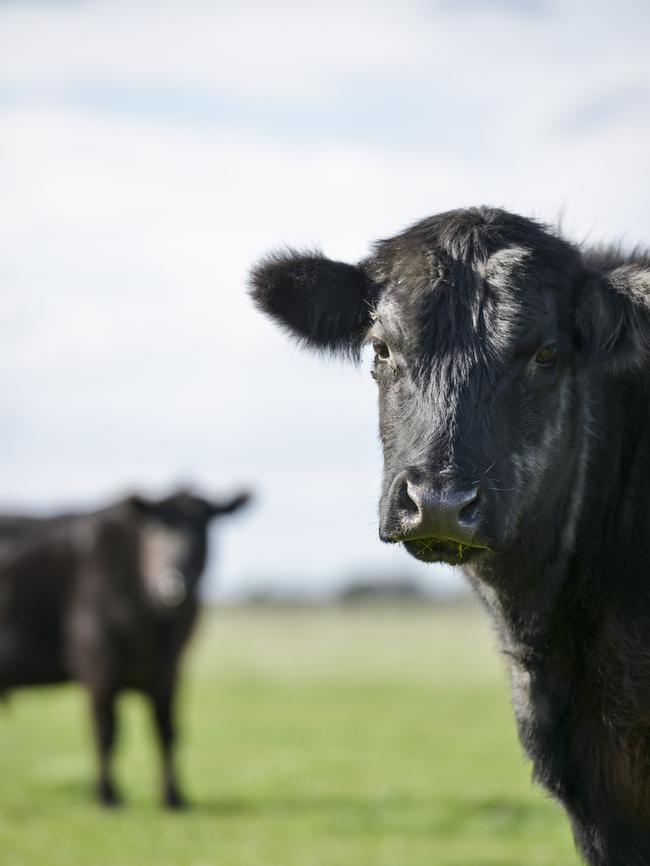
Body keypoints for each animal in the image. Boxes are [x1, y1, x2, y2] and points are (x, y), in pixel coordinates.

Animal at [0, 490, 249, 808]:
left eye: (204, 527)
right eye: (155, 527)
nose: (173, 583)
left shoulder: (170, 671)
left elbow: (167, 731)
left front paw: (174, 797)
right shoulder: (98, 669)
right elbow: (106, 733)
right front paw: (107, 796)